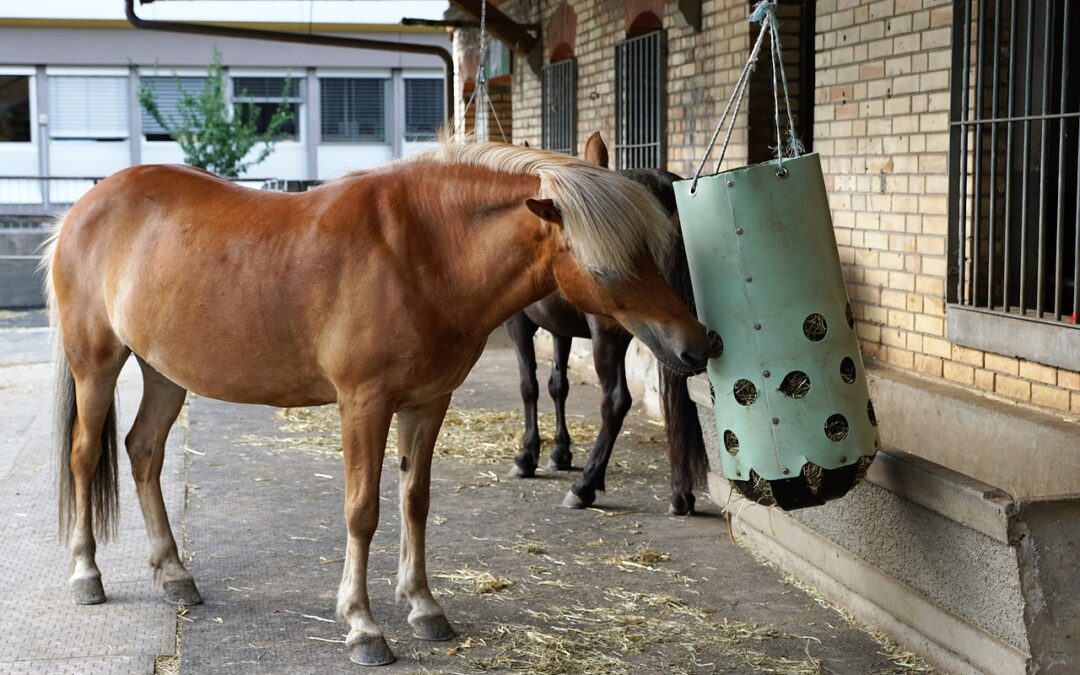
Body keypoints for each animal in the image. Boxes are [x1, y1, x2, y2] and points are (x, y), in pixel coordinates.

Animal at [503, 134, 708, 514]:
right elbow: (557, 385)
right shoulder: (561, 330)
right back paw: (680, 493)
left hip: (617, 336)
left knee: (615, 401)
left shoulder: (519, 324)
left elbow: (529, 386)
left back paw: (586, 485)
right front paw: (560, 453)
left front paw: (527, 456)